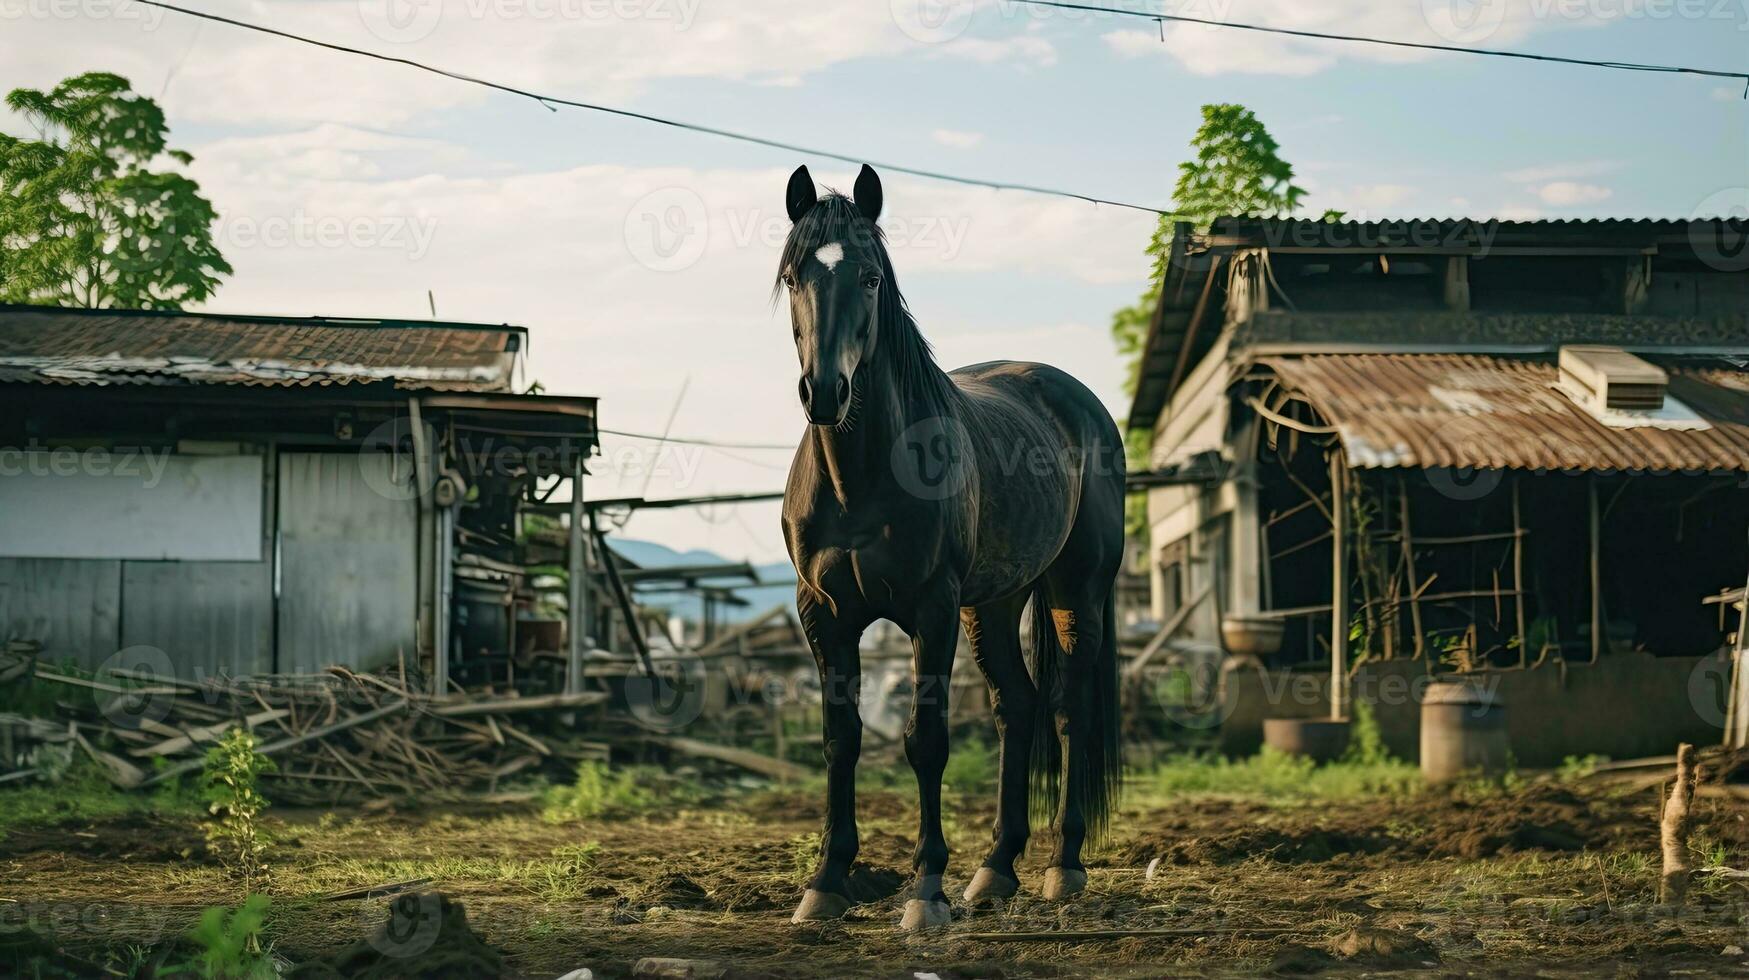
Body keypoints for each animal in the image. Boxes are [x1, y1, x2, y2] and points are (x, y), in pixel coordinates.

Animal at [776, 164, 1119, 931]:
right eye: (792, 276)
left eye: (871, 277)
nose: (825, 392)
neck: (860, 479)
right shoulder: (823, 614)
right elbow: (840, 739)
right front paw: (827, 880)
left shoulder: (930, 610)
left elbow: (925, 742)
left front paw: (924, 891)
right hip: (993, 604)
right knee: (1016, 706)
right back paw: (996, 869)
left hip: (1073, 590)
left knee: (1068, 710)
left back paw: (1063, 865)